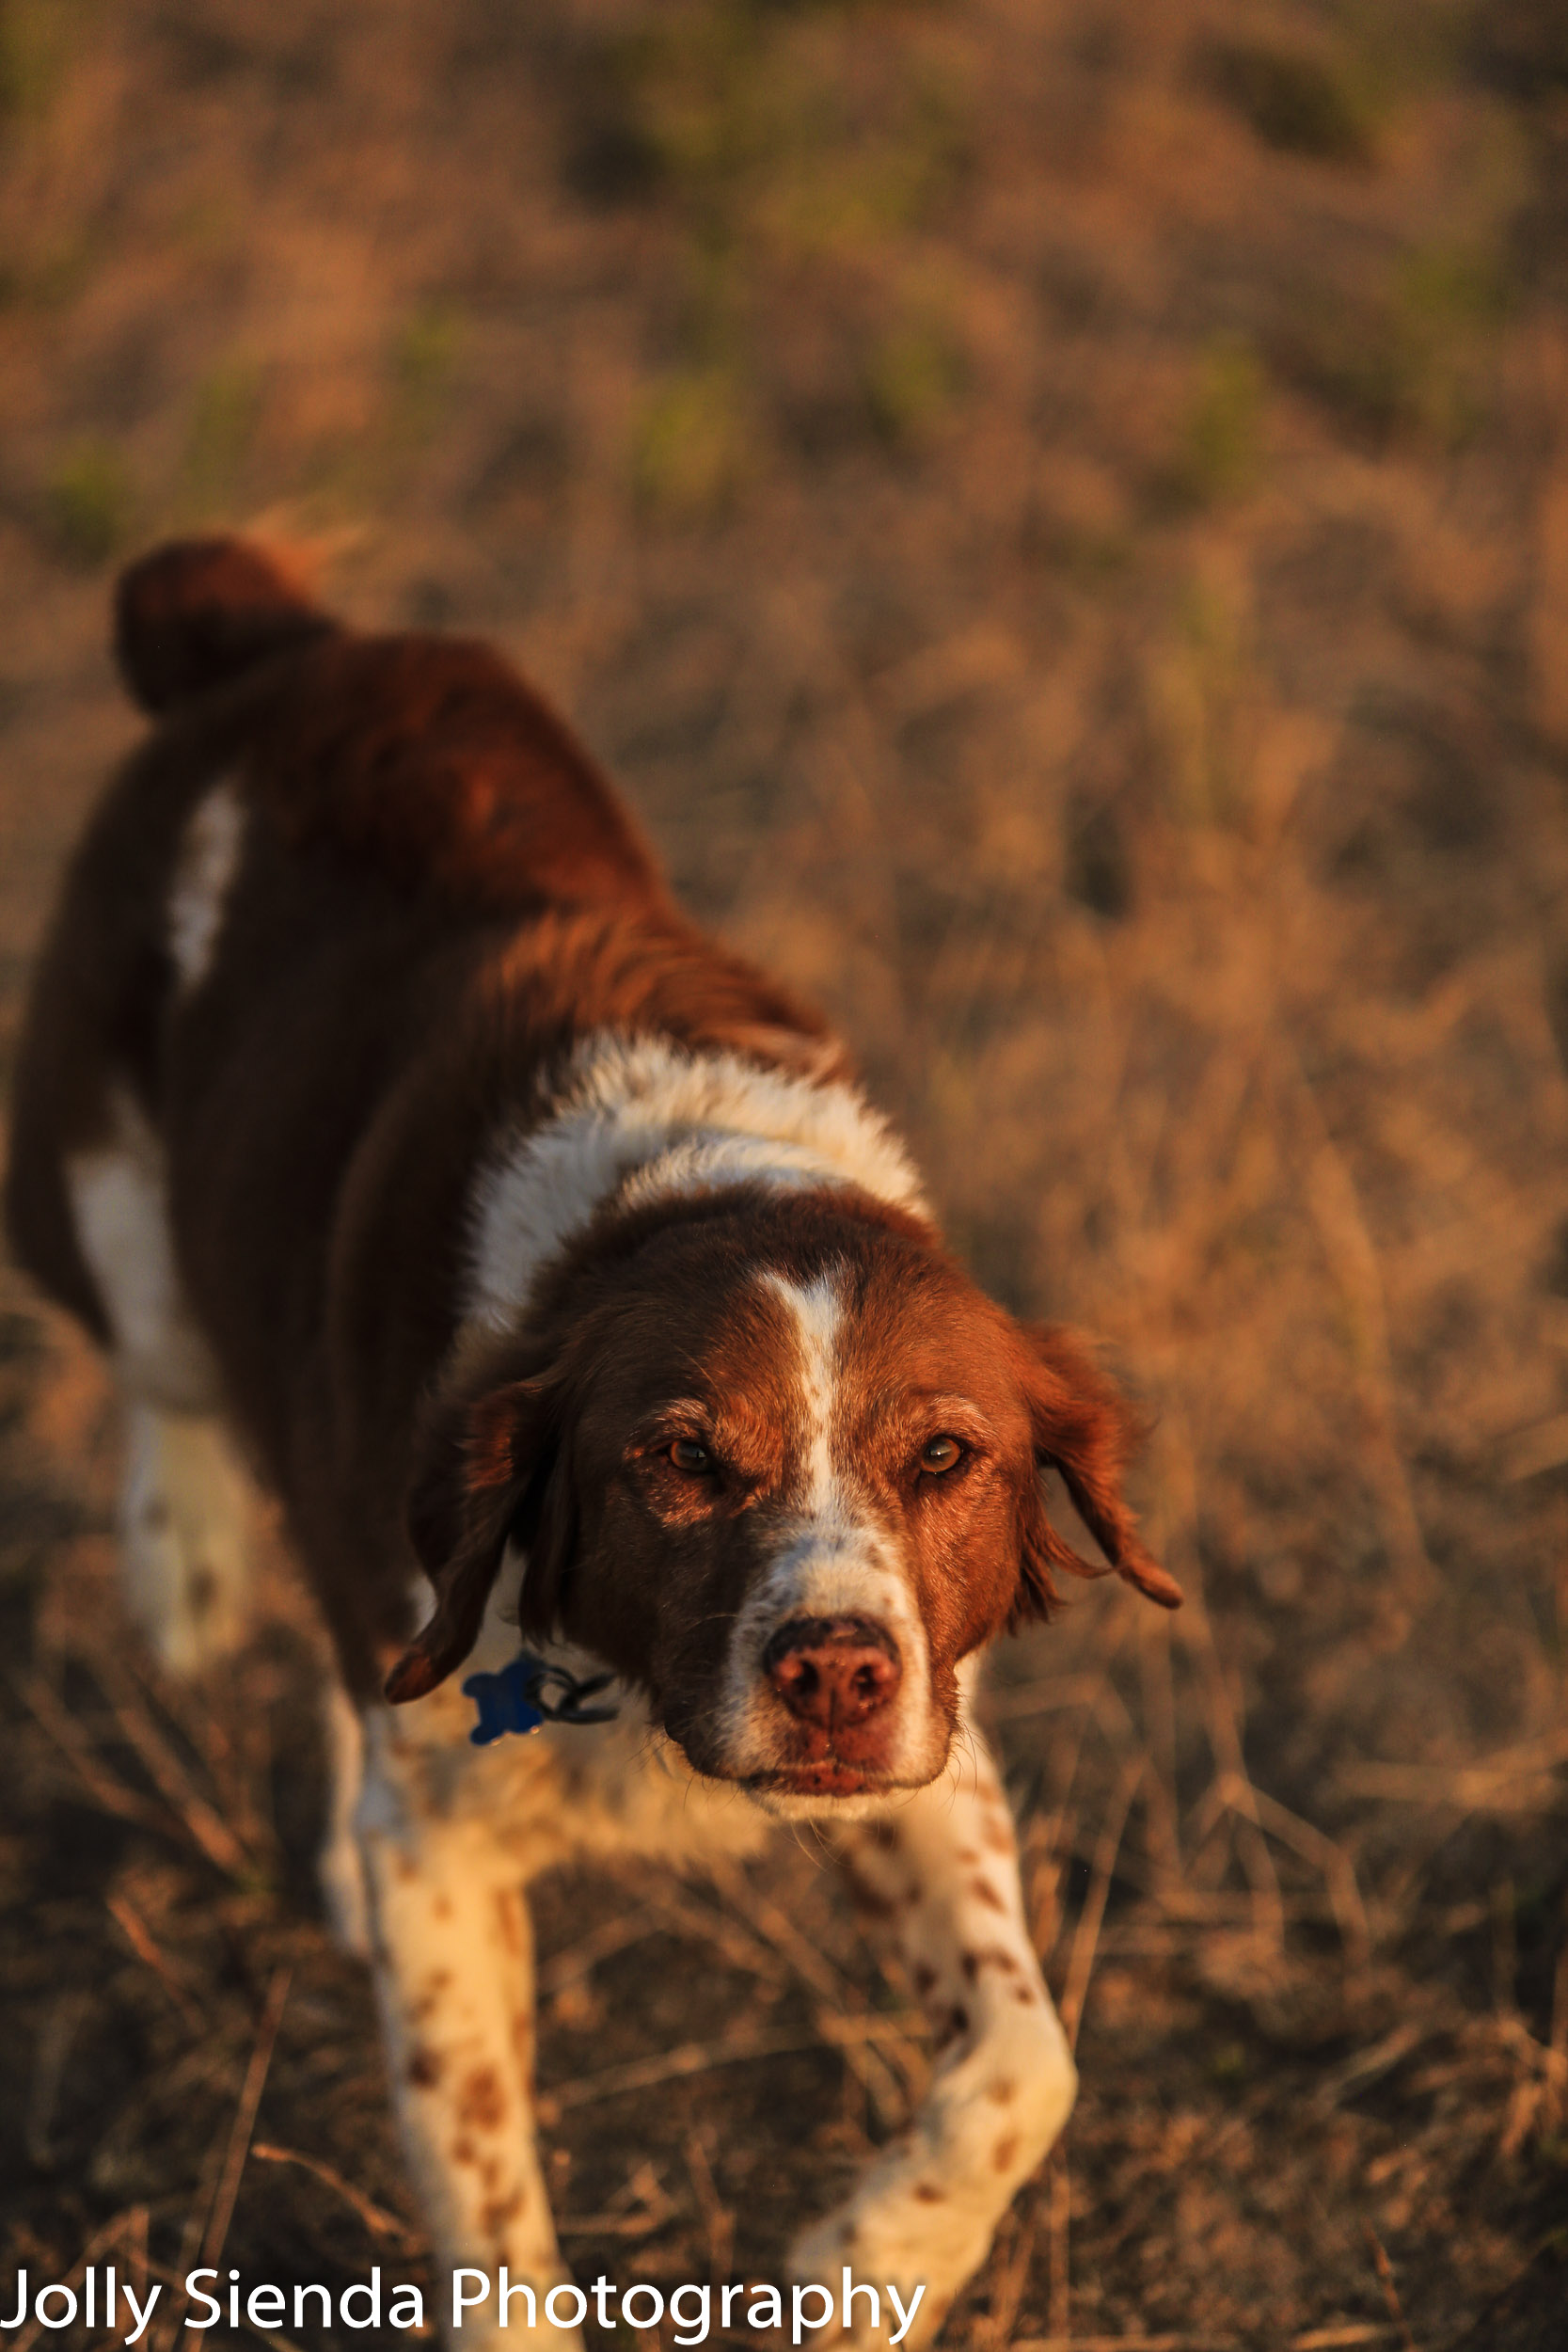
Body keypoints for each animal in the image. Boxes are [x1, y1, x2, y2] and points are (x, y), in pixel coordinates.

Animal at [3, 541, 1175, 2343]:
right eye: (679, 1457)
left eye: (942, 1459)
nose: (832, 1674)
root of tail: (259, 629)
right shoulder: (449, 1851)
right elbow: (487, 2197)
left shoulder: (929, 1742)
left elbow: (1021, 2062)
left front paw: (863, 2274)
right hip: (104, 1214)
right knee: (174, 1384)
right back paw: (183, 1562)